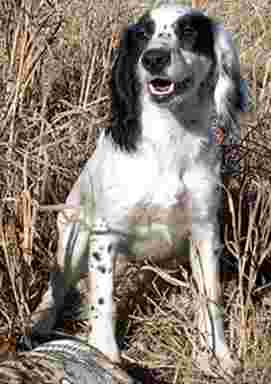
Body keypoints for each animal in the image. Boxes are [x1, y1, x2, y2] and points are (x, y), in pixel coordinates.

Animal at [30, 3, 245, 376]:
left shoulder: (205, 232)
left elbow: (211, 299)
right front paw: (105, 354)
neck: (168, 140)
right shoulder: (105, 236)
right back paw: (40, 323)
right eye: (143, 34)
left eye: (188, 31)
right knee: (55, 287)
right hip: (74, 238)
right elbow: (104, 303)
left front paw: (216, 355)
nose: (154, 58)